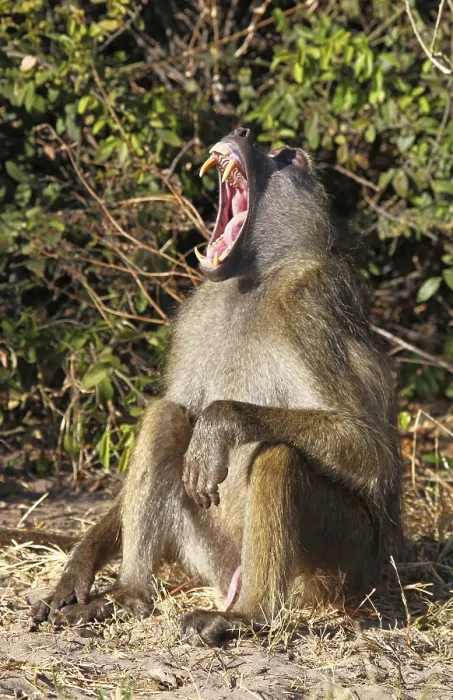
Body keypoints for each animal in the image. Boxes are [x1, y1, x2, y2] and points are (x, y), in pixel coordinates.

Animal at [31, 128, 402, 645]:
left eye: (290, 159)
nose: (243, 133)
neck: (253, 280)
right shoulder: (196, 315)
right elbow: (178, 409)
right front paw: (77, 569)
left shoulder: (312, 305)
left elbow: (370, 449)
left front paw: (221, 423)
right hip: (213, 555)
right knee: (165, 416)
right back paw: (128, 596)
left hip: (338, 568)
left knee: (279, 458)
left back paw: (247, 616)